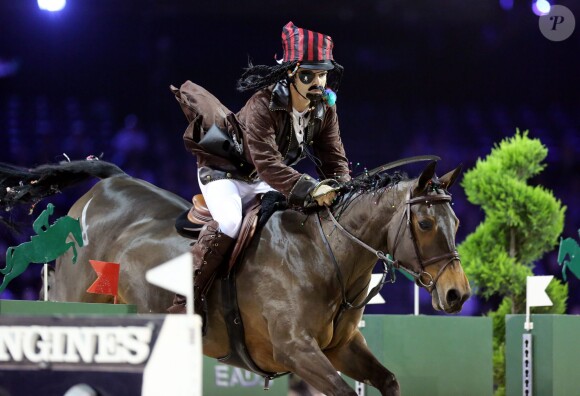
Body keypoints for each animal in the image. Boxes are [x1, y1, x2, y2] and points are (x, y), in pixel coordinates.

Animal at [0, 159, 468, 394]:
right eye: (425, 223)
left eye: (457, 223)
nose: (457, 294)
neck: (323, 255)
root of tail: (109, 184)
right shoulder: (295, 349)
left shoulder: (341, 347)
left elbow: (388, 380)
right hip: (77, 300)